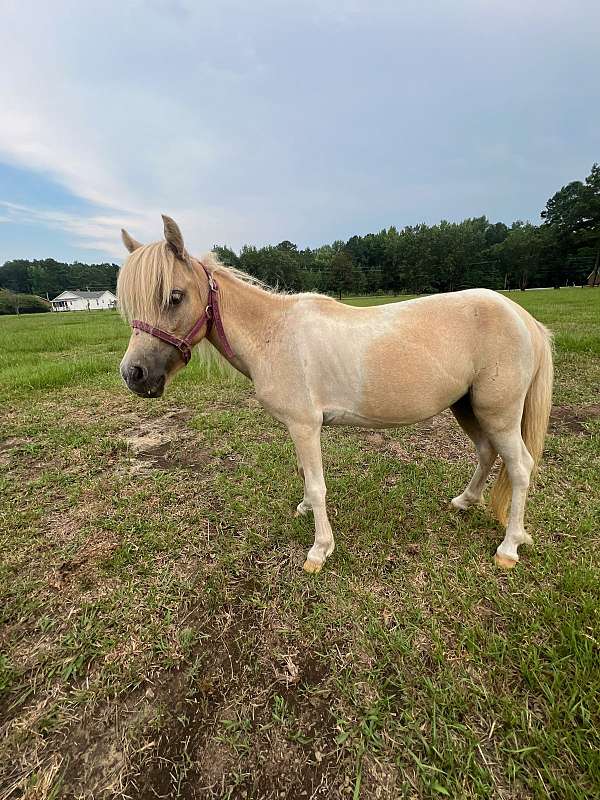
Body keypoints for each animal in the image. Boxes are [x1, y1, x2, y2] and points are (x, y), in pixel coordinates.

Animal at [117, 216, 552, 572]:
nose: (134, 375)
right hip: (468, 407)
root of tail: (523, 318)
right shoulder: (298, 428)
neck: (273, 333)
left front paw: (319, 550)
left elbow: (316, 483)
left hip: (498, 413)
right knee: (487, 453)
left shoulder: (305, 426)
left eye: (174, 296)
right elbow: (305, 475)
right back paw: (464, 502)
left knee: (520, 467)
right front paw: (305, 510)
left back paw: (509, 547)